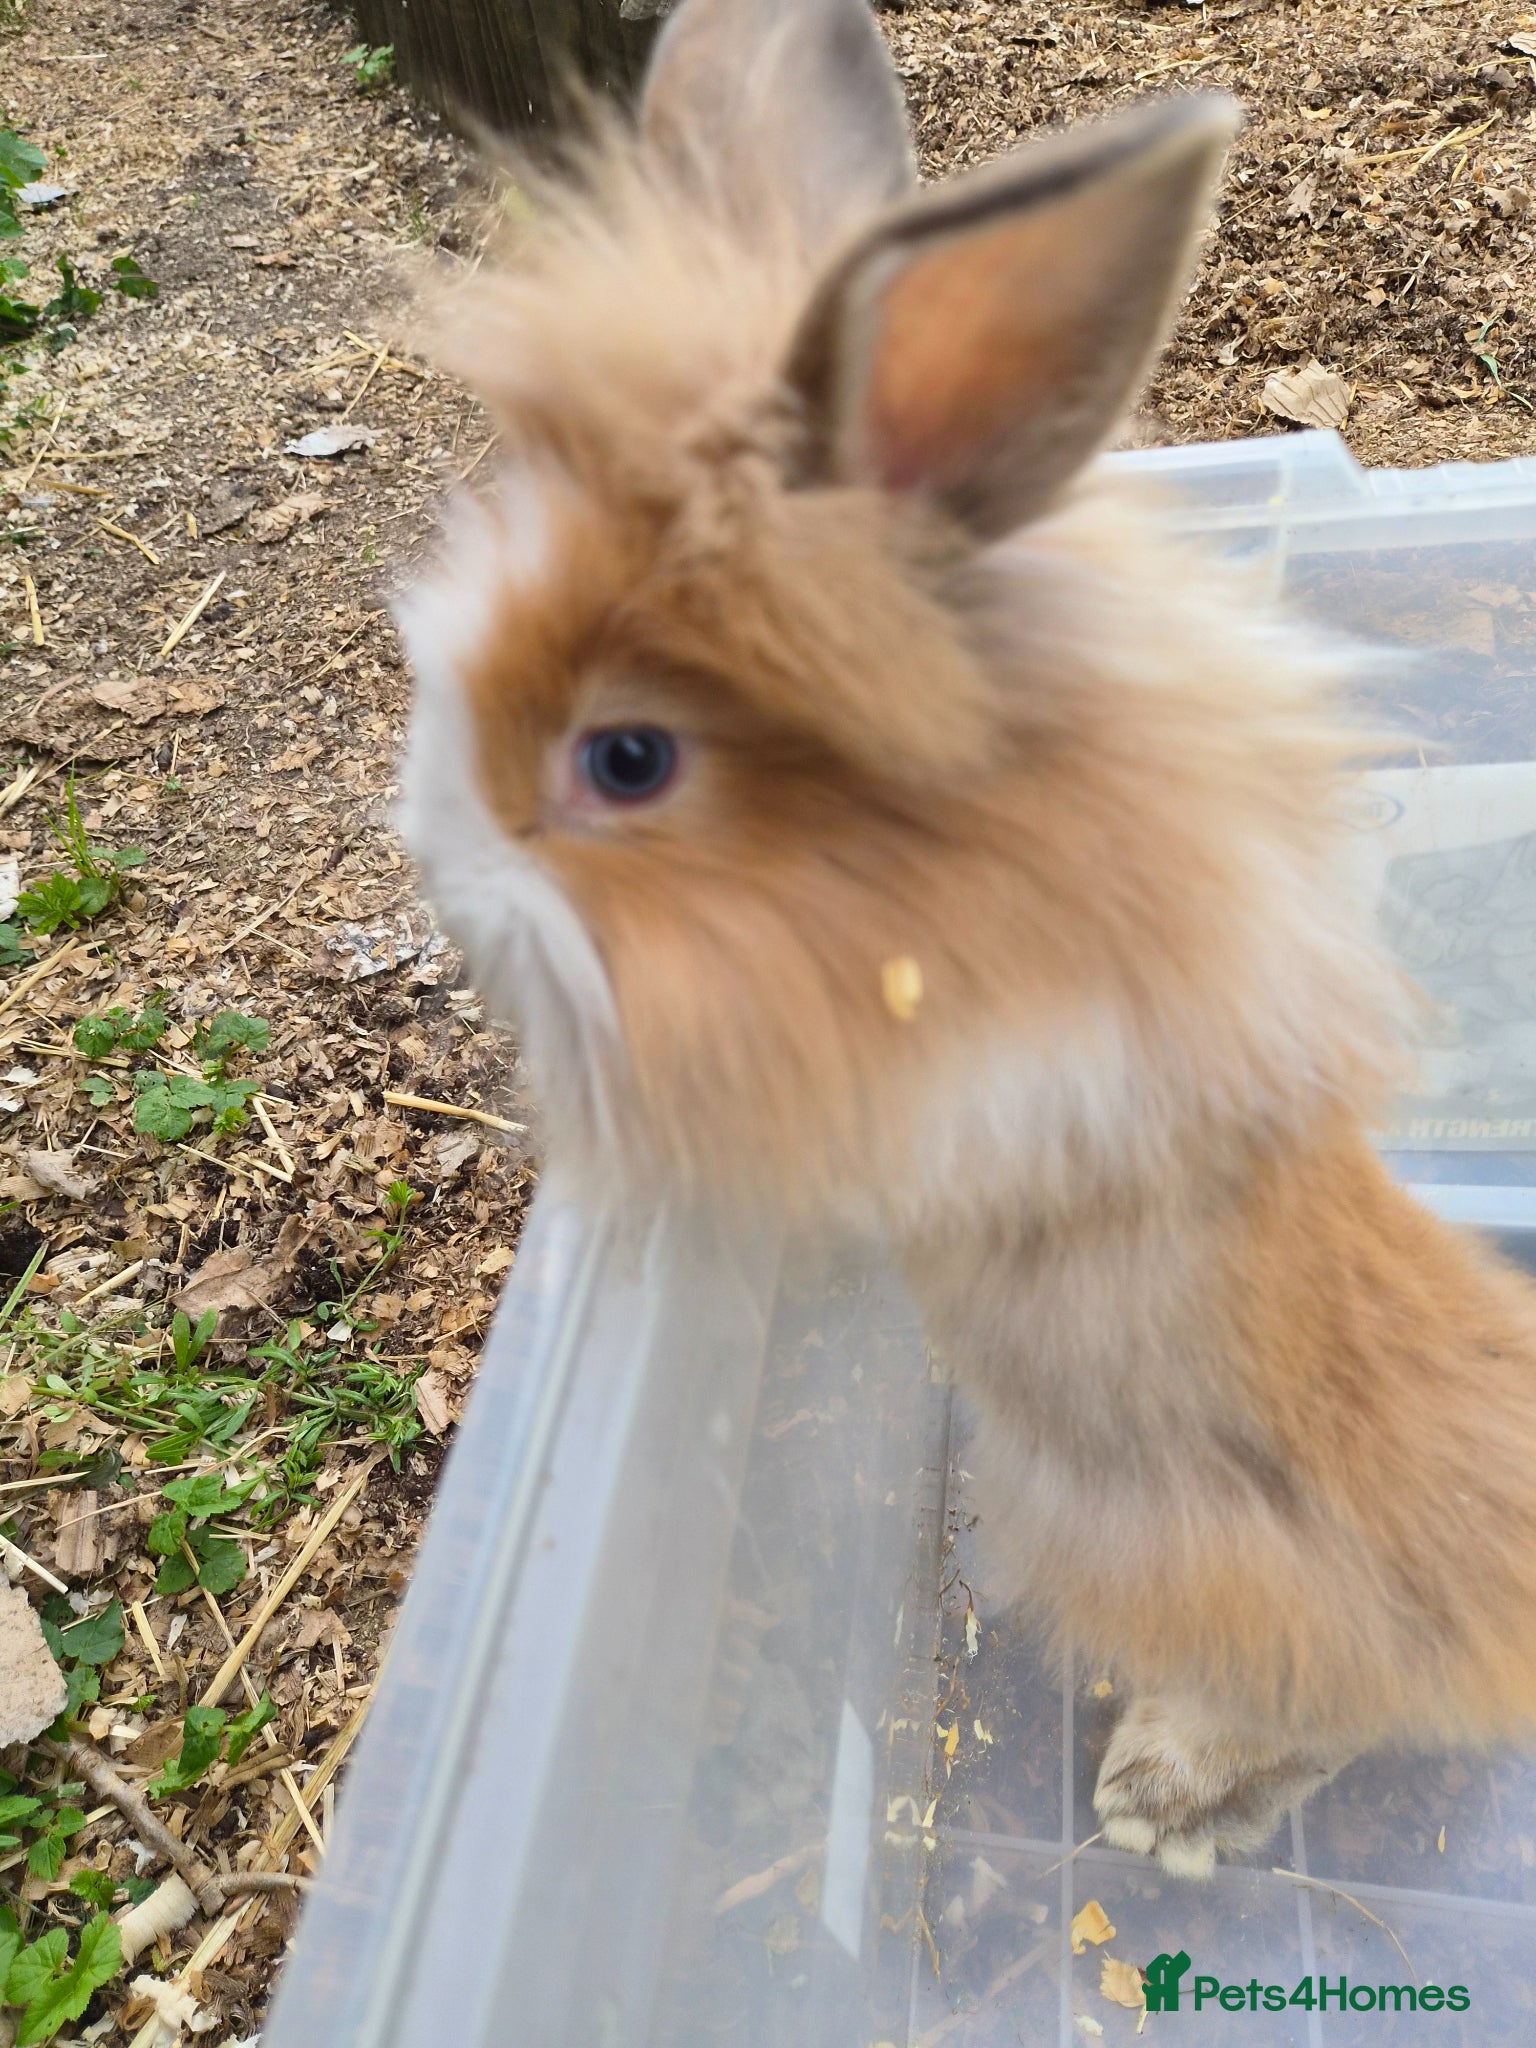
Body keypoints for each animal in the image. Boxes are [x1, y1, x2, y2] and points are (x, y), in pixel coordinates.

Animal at [396, 0, 1536, 1878]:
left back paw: (1167, 1806)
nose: (433, 861)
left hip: (1197, 1567)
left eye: (625, 761)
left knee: (1333, 1714)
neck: (914, 880)